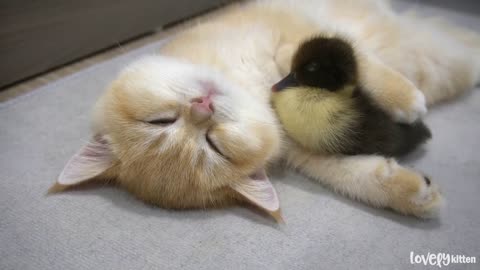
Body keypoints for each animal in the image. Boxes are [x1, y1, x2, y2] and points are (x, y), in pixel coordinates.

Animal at [51, 0, 480, 219]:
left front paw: (406, 99)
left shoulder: (289, 31)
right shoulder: (304, 150)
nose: (203, 108)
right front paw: (412, 193)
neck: (256, 87)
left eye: (160, 121)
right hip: (445, 56)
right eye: (214, 145)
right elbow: (351, 177)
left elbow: (354, 61)